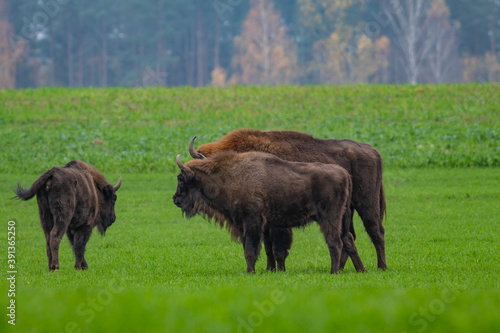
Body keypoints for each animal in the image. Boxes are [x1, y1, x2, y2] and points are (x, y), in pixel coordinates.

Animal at [189, 128, 388, 272]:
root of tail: (372, 150)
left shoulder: (277, 222)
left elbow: (278, 247)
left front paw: (280, 269)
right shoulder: (264, 221)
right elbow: (267, 246)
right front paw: (269, 269)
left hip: (366, 203)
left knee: (376, 231)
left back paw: (381, 267)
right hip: (346, 210)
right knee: (350, 235)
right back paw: (342, 267)